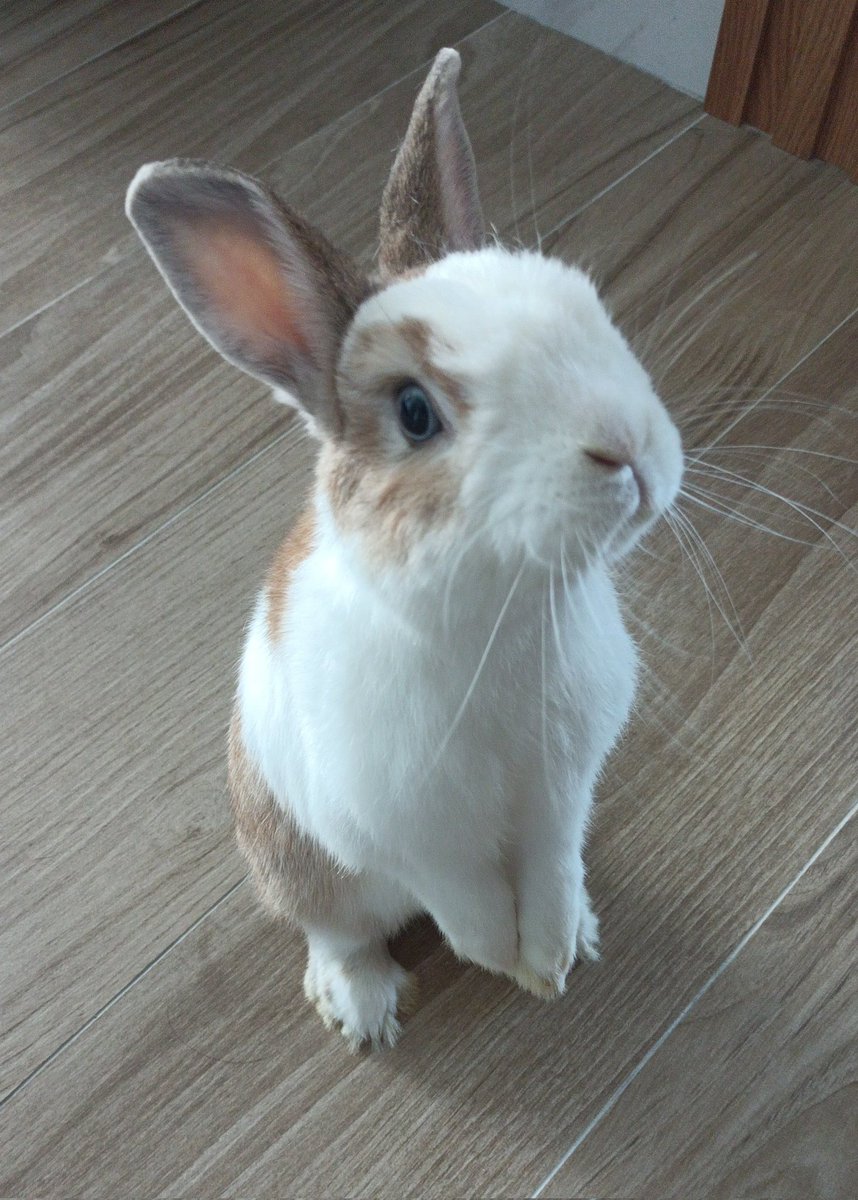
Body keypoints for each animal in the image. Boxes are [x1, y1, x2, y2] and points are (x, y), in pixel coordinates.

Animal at [126, 49, 686, 1051]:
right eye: (416, 413)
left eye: (584, 304)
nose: (627, 449)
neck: (505, 616)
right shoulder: (403, 833)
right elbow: (463, 903)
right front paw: (504, 961)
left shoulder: (562, 795)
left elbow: (550, 870)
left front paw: (550, 958)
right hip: (293, 857)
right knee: (339, 929)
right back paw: (363, 1008)